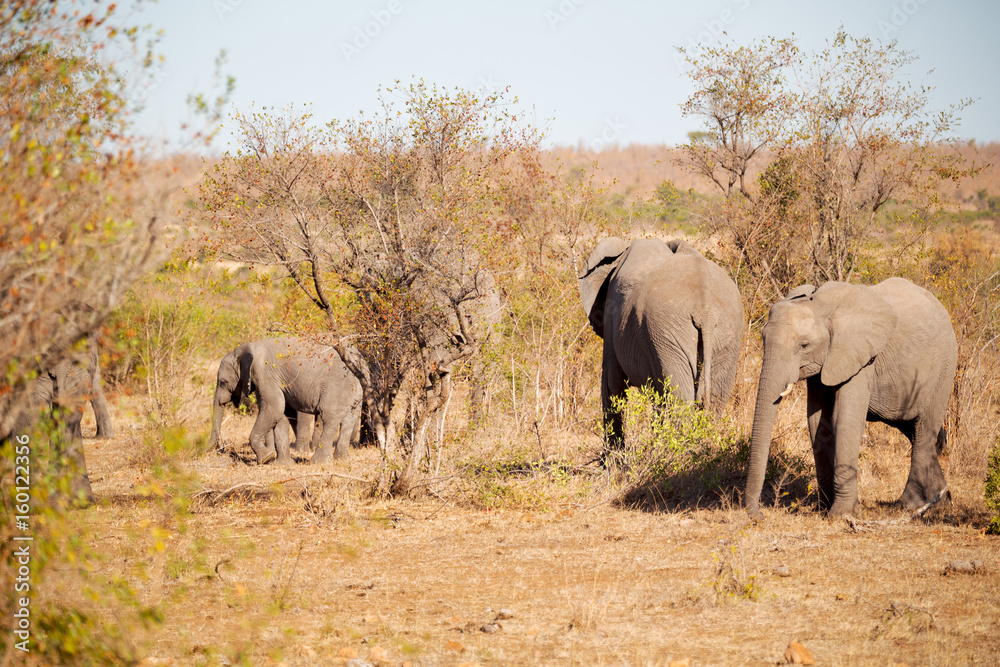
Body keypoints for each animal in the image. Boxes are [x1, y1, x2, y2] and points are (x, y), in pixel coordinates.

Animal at [209, 340, 366, 464]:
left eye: (223, 382)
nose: (217, 448)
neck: (244, 349)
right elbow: (280, 413)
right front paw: (282, 464)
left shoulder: (263, 373)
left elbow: (274, 408)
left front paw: (266, 458)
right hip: (354, 393)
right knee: (348, 420)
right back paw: (342, 459)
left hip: (336, 387)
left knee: (329, 419)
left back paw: (318, 462)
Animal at [748, 280, 956, 520]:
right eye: (763, 339)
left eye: (804, 345)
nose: (758, 515)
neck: (823, 307)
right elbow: (818, 423)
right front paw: (823, 509)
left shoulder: (862, 359)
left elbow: (845, 420)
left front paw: (841, 515)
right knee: (915, 432)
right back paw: (940, 501)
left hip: (943, 369)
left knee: (924, 431)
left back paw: (908, 505)